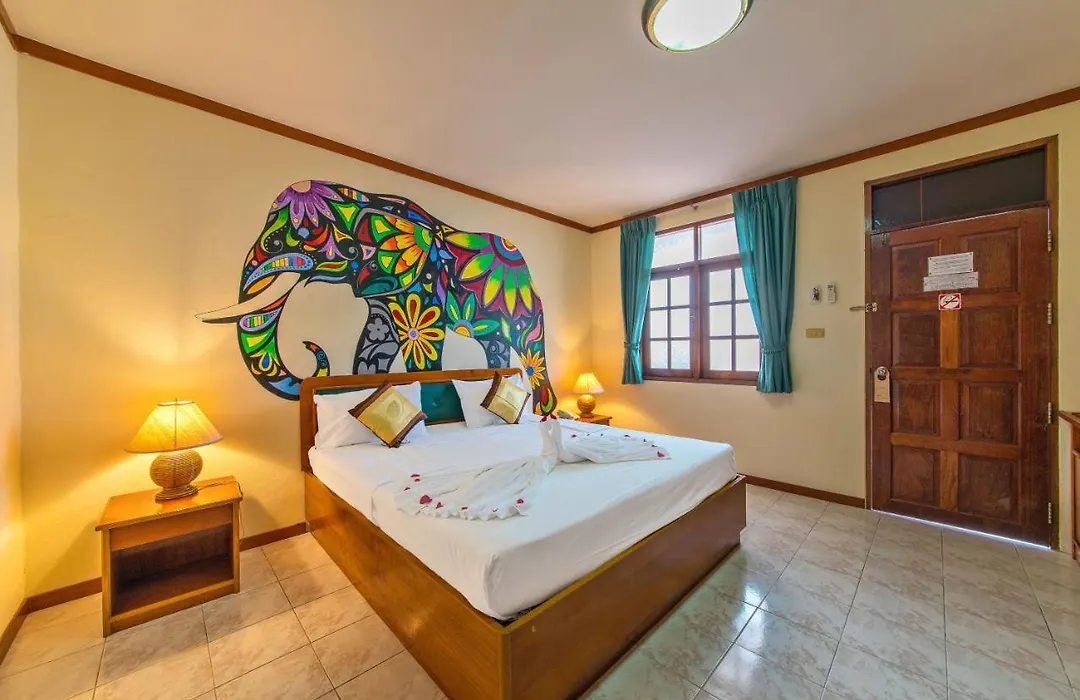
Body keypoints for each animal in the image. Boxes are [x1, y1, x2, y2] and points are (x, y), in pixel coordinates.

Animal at [197, 180, 557, 414]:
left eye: (304, 235)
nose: (308, 346)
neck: (368, 197)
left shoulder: (423, 283)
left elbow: (421, 341)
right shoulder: (382, 293)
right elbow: (376, 341)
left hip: (527, 310)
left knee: (531, 353)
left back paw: (547, 412)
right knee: (495, 346)